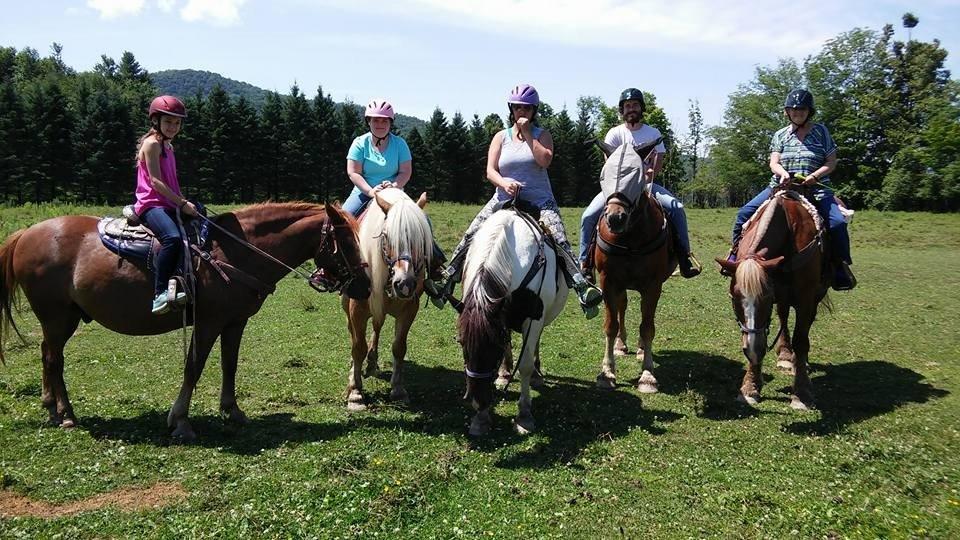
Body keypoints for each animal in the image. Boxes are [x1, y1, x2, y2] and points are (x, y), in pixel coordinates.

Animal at [0, 200, 372, 440]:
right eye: (346, 241)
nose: (366, 286)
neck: (235, 252)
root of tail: (25, 234)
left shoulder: (235, 322)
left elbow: (229, 364)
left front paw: (232, 410)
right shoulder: (208, 322)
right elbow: (194, 365)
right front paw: (179, 420)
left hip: (64, 319)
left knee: (47, 355)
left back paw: (53, 408)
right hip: (56, 316)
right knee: (54, 359)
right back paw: (64, 414)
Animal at [342, 188, 432, 412]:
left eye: (421, 238)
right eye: (386, 236)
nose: (404, 283)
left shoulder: (409, 309)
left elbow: (399, 347)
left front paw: (398, 391)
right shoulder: (357, 308)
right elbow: (358, 347)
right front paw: (355, 393)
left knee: (377, 325)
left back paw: (372, 363)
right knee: (353, 332)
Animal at [460, 207, 568, 434]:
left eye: (494, 348)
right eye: (461, 342)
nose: (478, 400)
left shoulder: (533, 320)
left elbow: (525, 364)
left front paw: (524, 415)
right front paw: (480, 418)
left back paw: (536, 375)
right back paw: (504, 374)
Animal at [592, 140, 676, 392]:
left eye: (638, 176)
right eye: (603, 175)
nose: (615, 218)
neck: (629, 238)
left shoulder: (653, 285)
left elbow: (647, 327)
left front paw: (647, 375)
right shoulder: (608, 281)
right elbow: (610, 324)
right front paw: (607, 372)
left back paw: (639, 349)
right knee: (622, 307)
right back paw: (621, 344)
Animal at [716, 187, 828, 410]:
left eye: (767, 296)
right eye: (734, 297)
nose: (752, 349)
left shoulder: (805, 297)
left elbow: (801, 340)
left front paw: (802, 393)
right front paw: (750, 387)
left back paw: (799, 363)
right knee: (783, 317)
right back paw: (785, 354)